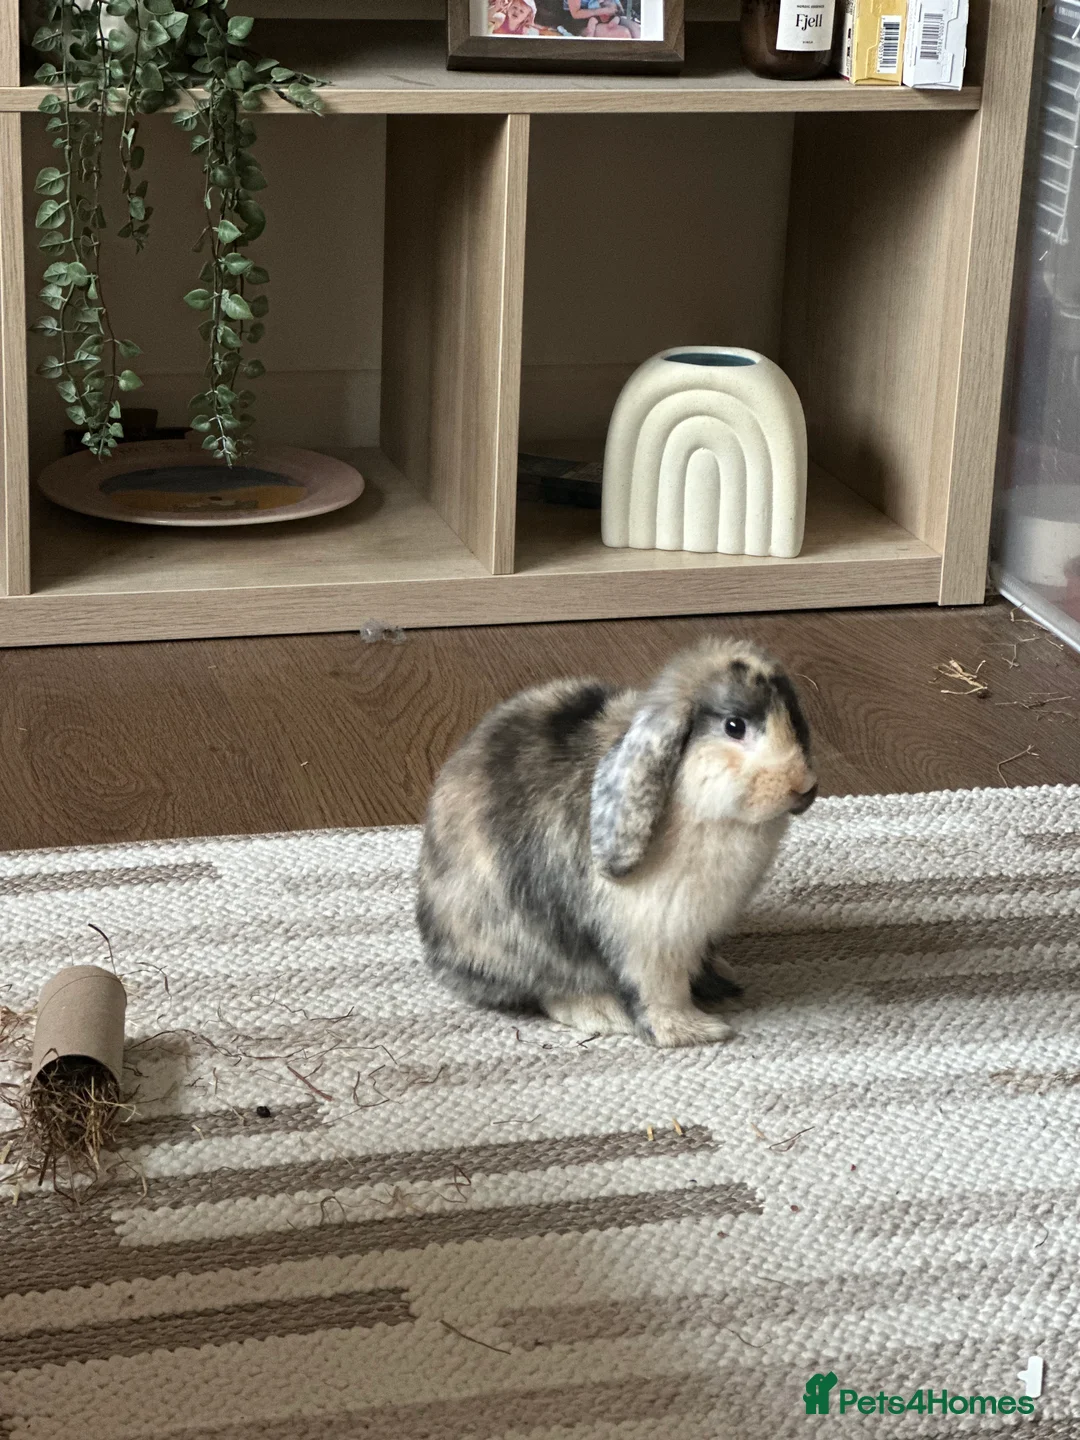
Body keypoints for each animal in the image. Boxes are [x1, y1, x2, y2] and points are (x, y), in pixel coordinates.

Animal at [417, 637, 817, 1048]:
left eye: (794, 718)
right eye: (734, 726)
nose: (804, 787)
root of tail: (437, 953)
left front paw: (719, 980)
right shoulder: (648, 939)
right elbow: (659, 992)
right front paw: (693, 1031)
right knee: (546, 989)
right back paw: (602, 1013)